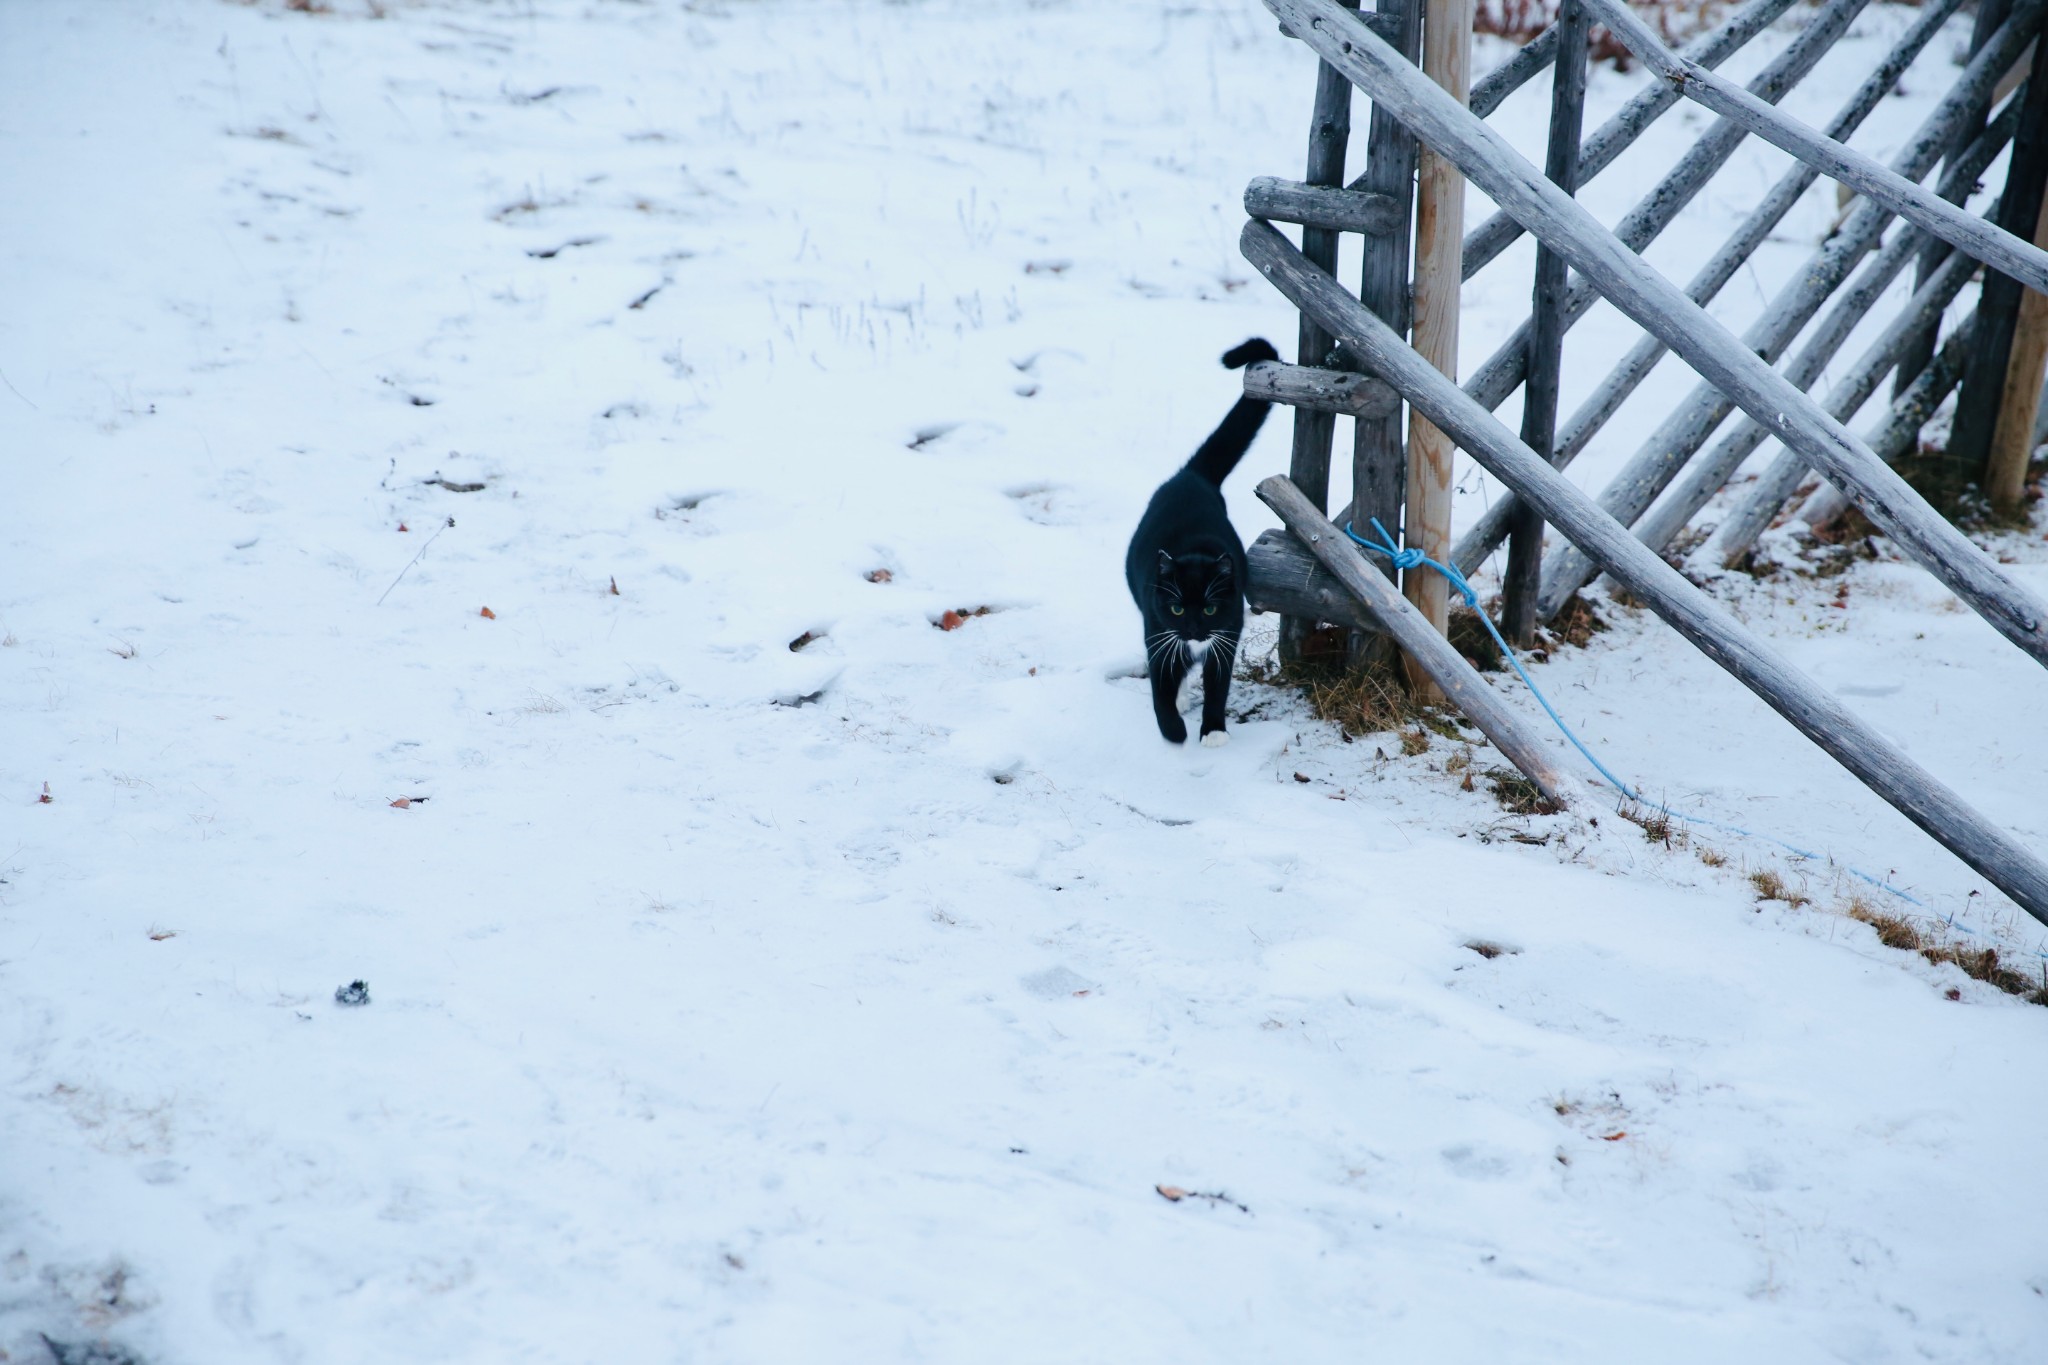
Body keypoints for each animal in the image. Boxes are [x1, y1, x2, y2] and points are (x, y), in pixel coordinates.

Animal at [1130, 339, 1269, 749]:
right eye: (1177, 608)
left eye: (1209, 609)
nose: (1193, 629)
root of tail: (1191, 475)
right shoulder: (1157, 626)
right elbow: (1160, 684)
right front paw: (1173, 730)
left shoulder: (1227, 631)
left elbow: (1217, 686)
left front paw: (1214, 731)